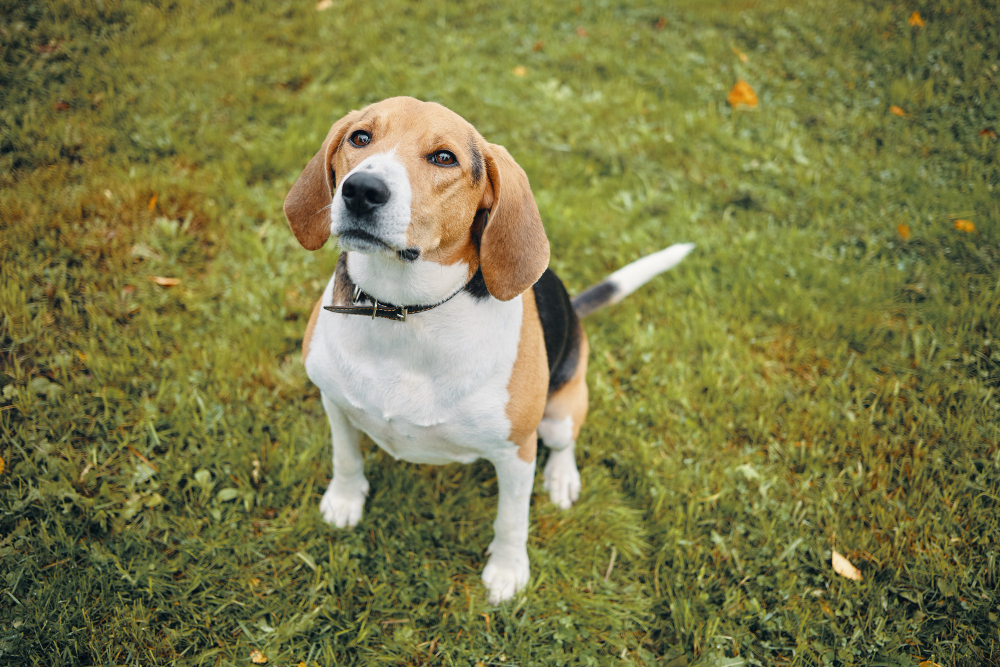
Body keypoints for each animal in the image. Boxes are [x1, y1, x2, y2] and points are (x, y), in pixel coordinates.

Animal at [286, 96, 692, 604]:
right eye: (360, 138)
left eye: (444, 158)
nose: (360, 190)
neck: (404, 310)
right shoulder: (334, 401)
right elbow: (345, 457)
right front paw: (344, 501)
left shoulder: (515, 451)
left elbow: (511, 520)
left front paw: (507, 572)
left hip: (557, 414)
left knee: (565, 442)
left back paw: (562, 478)